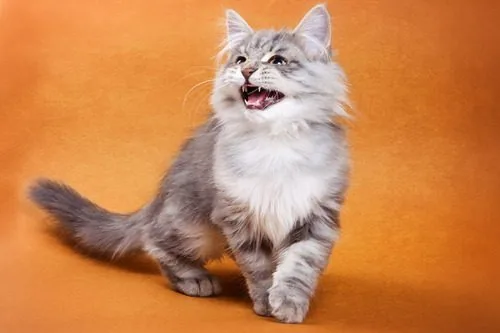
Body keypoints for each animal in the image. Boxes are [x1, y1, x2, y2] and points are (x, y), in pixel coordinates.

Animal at [27, 3, 348, 322]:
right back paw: (195, 279)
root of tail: (156, 201)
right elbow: (259, 268)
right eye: (241, 59)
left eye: (278, 60)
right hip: (195, 228)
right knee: (154, 241)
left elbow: (300, 265)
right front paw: (265, 303)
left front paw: (290, 304)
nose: (246, 71)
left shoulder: (317, 215)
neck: (275, 139)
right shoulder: (237, 216)